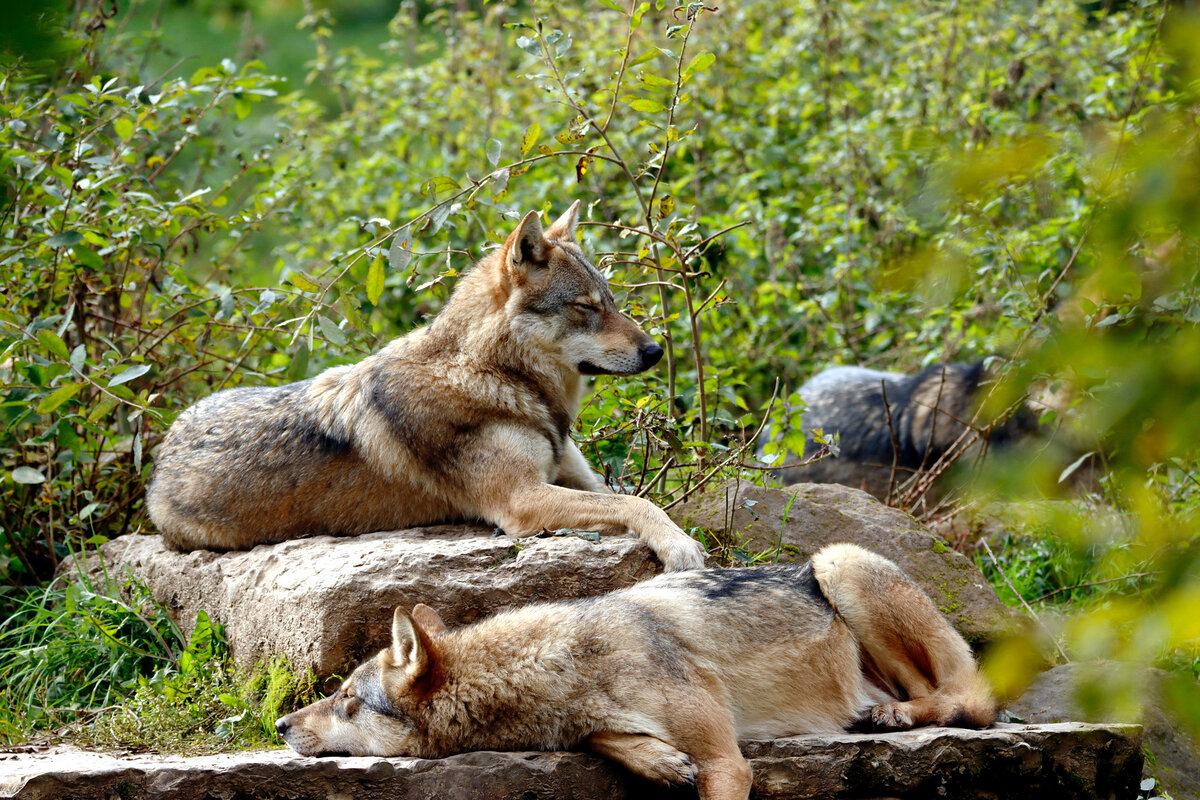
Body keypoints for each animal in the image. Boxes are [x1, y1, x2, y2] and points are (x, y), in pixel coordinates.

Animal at [151, 203, 710, 573]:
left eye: (611, 301)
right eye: (584, 307)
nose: (655, 351)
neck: (496, 376)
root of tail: (161, 451)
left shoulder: (579, 481)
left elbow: (644, 501)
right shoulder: (522, 499)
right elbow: (638, 505)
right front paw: (681, 548)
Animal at [276, 544, 998, 800]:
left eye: (345, 697)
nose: (280, 723)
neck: (563, 662)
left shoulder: (728, 763)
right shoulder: (595, 723)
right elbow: (609, 737)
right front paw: (657, 761)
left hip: (838, 562)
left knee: (972, 700)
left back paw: (893, 714)